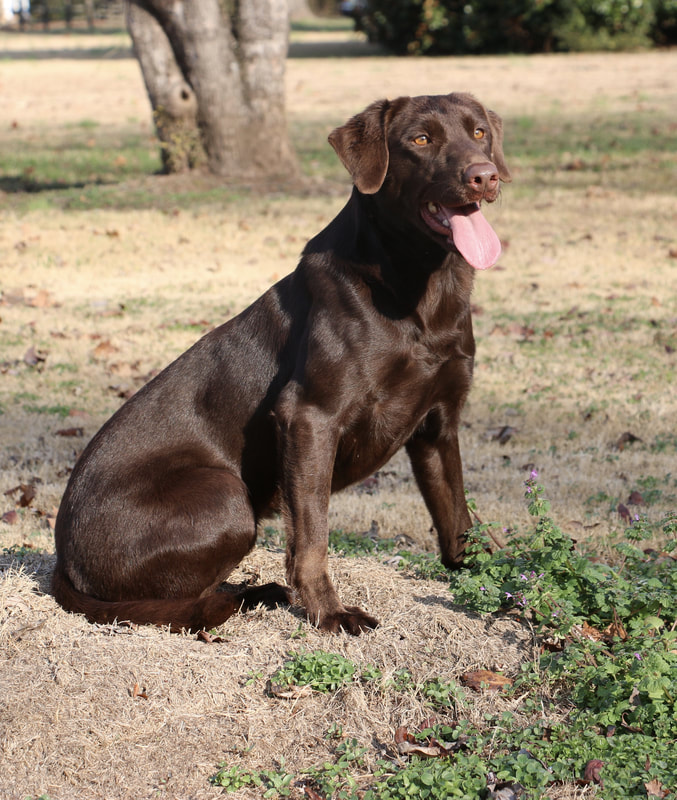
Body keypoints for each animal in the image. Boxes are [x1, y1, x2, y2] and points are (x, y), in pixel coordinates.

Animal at [51, 90, 508, 636]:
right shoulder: (309, 418)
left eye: (479, 132)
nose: (484, 175)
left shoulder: (438, 426)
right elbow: (312, 537)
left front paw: (499, 587)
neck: (421, 290)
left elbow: (457, 517)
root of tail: (62, 561)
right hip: (226, 497)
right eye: (420, 139)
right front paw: (329, 613)